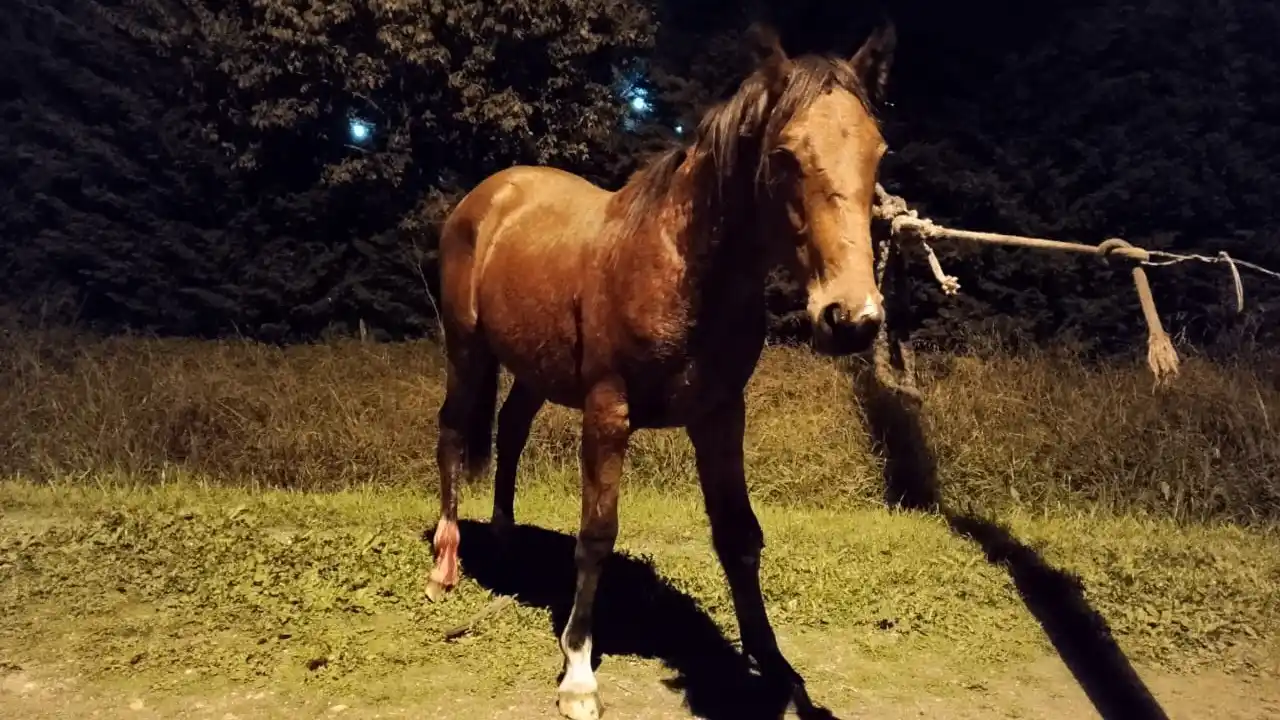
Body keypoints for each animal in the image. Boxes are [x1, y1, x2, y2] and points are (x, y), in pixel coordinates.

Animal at [425, 22, 897, 720]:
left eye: (877, 152)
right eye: (785, 154)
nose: (852, 317)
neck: (679, 267)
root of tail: (488, 196)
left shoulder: (721, 416)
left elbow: (739, 536)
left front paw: (778, 669)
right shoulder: (607, 411)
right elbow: (596, 534)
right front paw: (578, 674)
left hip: (533, 372)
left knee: (509, 432)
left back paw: (507, 542)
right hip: (466, 351)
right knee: (454, 434)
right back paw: (445, 567)